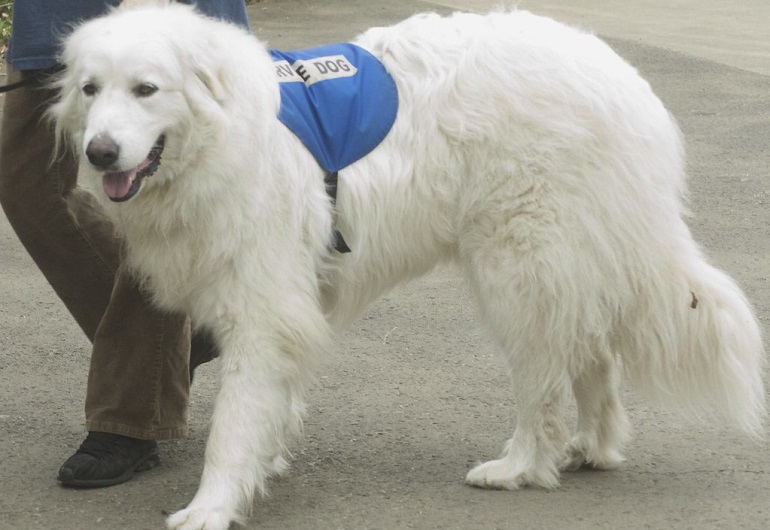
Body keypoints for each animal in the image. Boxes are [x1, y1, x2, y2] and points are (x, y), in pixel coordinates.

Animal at [51, 2, 764, 524]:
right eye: (91, 89)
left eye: (146, 89)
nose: (100, 152)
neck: (225, 134)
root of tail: (622, 80)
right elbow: (271, 405)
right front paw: (267, 462)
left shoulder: (264, 309)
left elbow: (233, 421)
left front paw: (211, 507)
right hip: (559, 265)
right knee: (590, 352)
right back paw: (592, 448)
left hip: (516, 267)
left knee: (546, 380)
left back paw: (523, 466)